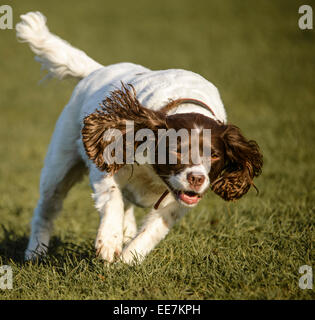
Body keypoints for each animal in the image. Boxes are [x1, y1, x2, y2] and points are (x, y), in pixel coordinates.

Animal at [17, 11, 264, 264]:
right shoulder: (106, 163)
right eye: (176, 150)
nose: (196, 179)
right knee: (47, 208)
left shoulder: (177, 203)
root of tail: (96, 70)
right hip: (59, 166)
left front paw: (126, 260)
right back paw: (35, 251)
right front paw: (109, 243)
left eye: (214, 155)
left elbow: (152, 230)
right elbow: (112, 198)